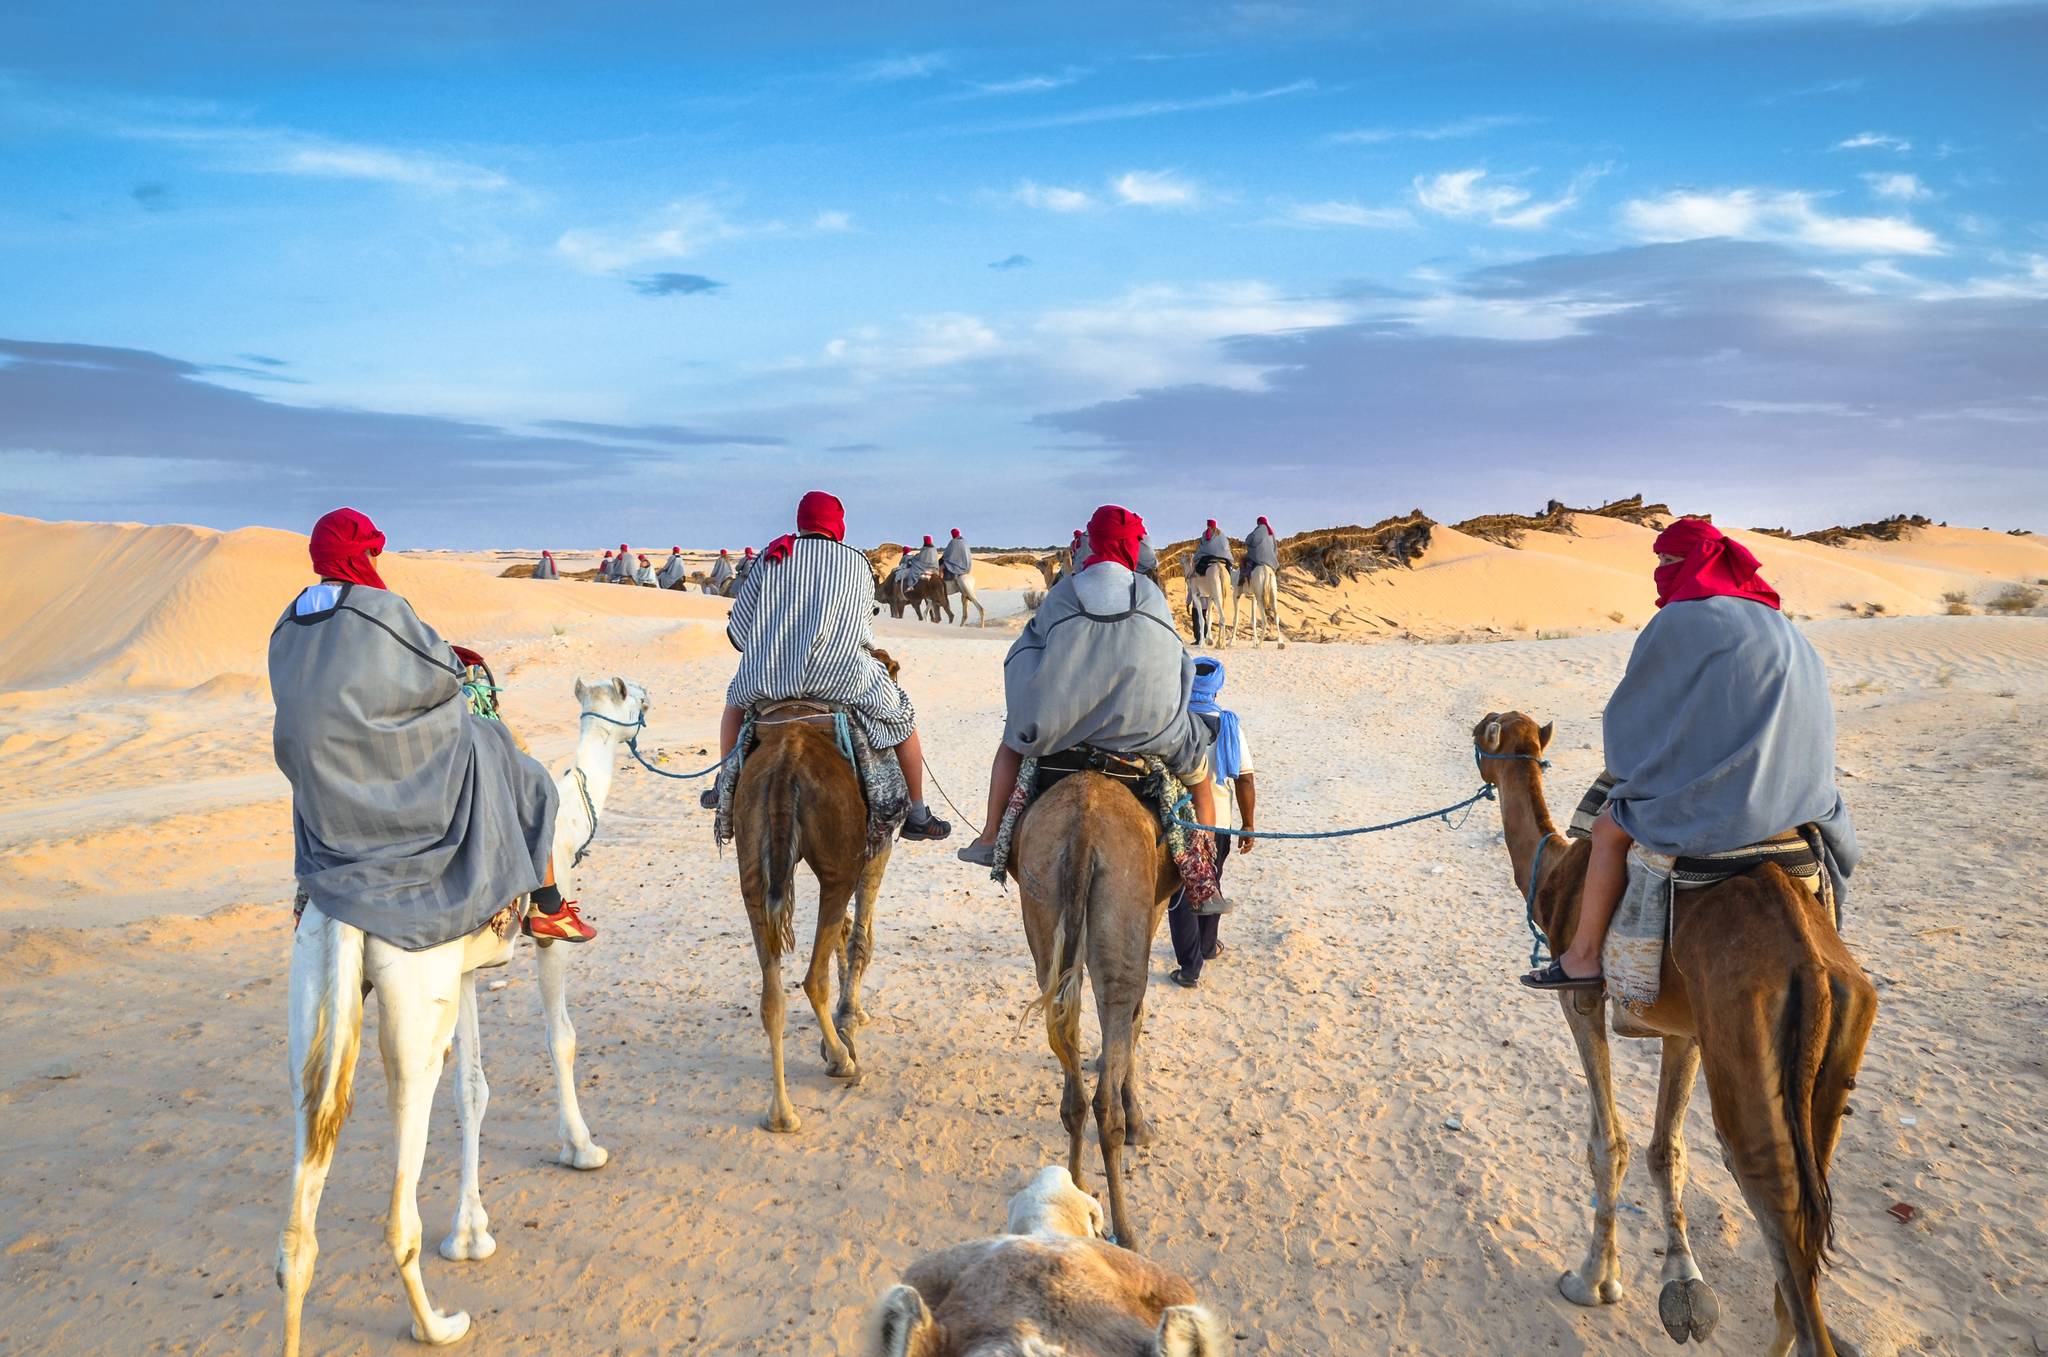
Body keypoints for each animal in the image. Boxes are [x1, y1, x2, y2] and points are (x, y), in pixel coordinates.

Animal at [272, 675, 638, 1350]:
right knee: (398, 1215)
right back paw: (438, 1326)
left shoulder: (464, 970)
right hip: (414, 1014)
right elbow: (562, 1038)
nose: (647, 706)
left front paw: (470, 1233)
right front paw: (581, 1148)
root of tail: (346, 912)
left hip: (312, 1003)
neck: (573, 817)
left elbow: (471, 1087)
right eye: (630, 695)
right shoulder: (546, 941)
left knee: (298, 1226)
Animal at [733, 663, 901, 1129]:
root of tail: (786, 763)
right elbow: (860, 936)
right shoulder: (876, 844)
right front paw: (850, 1018)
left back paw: (781, 1113)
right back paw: (841, 1059)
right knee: (812, 977)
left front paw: (849, 1017)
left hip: (752, 864)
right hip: (837, 864)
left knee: (772, 995)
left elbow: (846, 933)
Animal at [1011, 769, 1187, 1244]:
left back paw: (1075, 1187)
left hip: (1041, 893)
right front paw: (1141, 1125)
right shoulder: (1155, 907)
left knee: (1069, 1069)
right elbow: (1135, 1022)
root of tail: (1084, 828)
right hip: (1123, 903)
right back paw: (1126, 1230)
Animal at [1474, 712, 1884, 1357]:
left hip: (1745, 1052)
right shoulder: (1685, 1031)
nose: (1475, 745)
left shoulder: (1580, 999)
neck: (1554, 872)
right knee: (1807, 1225)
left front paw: (1593, 1281)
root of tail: (1816, 971)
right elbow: (1666, 1149)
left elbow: (1607, 1143)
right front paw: (1683, 1288)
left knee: (1775, 1202)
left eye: (1484, 731)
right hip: (1833, 1059)